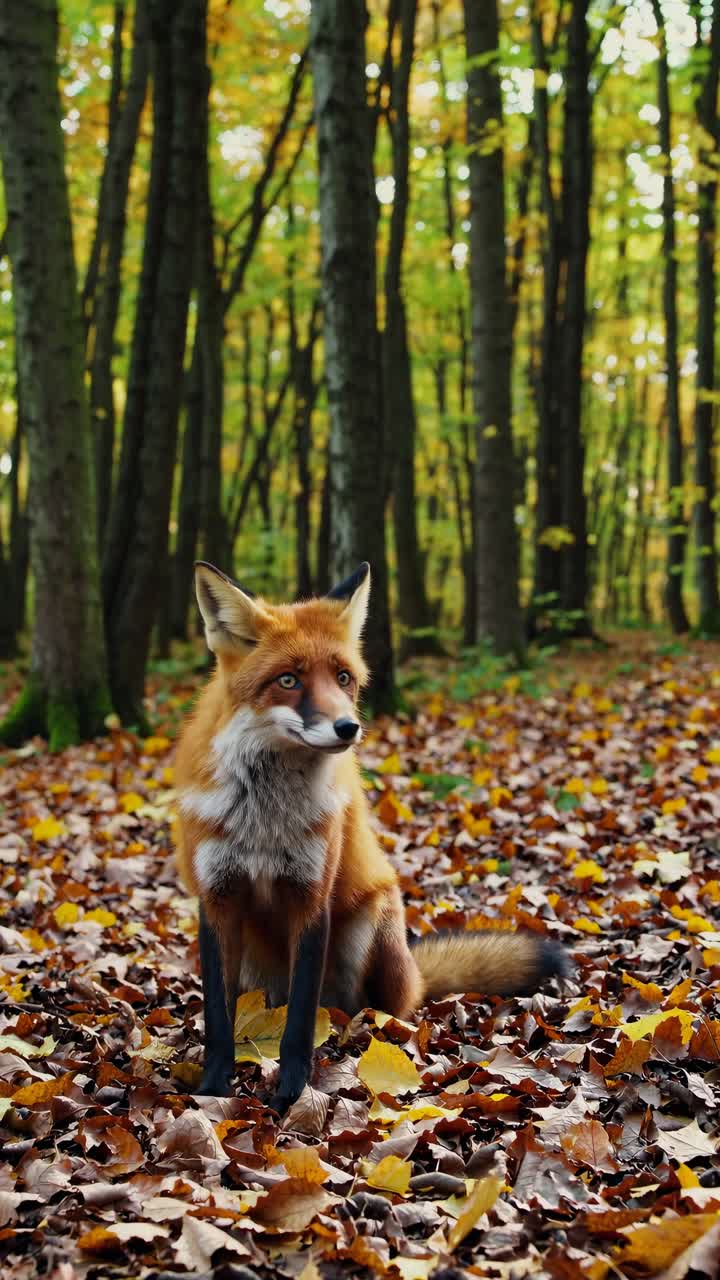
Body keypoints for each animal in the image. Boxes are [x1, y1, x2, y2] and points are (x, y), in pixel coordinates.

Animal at [173, 560, 570, 1112]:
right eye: (289, 680)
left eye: (343, 678)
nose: (348, 728)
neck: (264, 820)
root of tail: (414, 976)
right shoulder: (216, 899)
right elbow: (218, 1019)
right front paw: (213, 1091)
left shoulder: (311, 897)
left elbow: (300, 1023)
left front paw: (292, 1093)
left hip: (370, 926)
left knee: (368, 1009)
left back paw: (363, 1028)